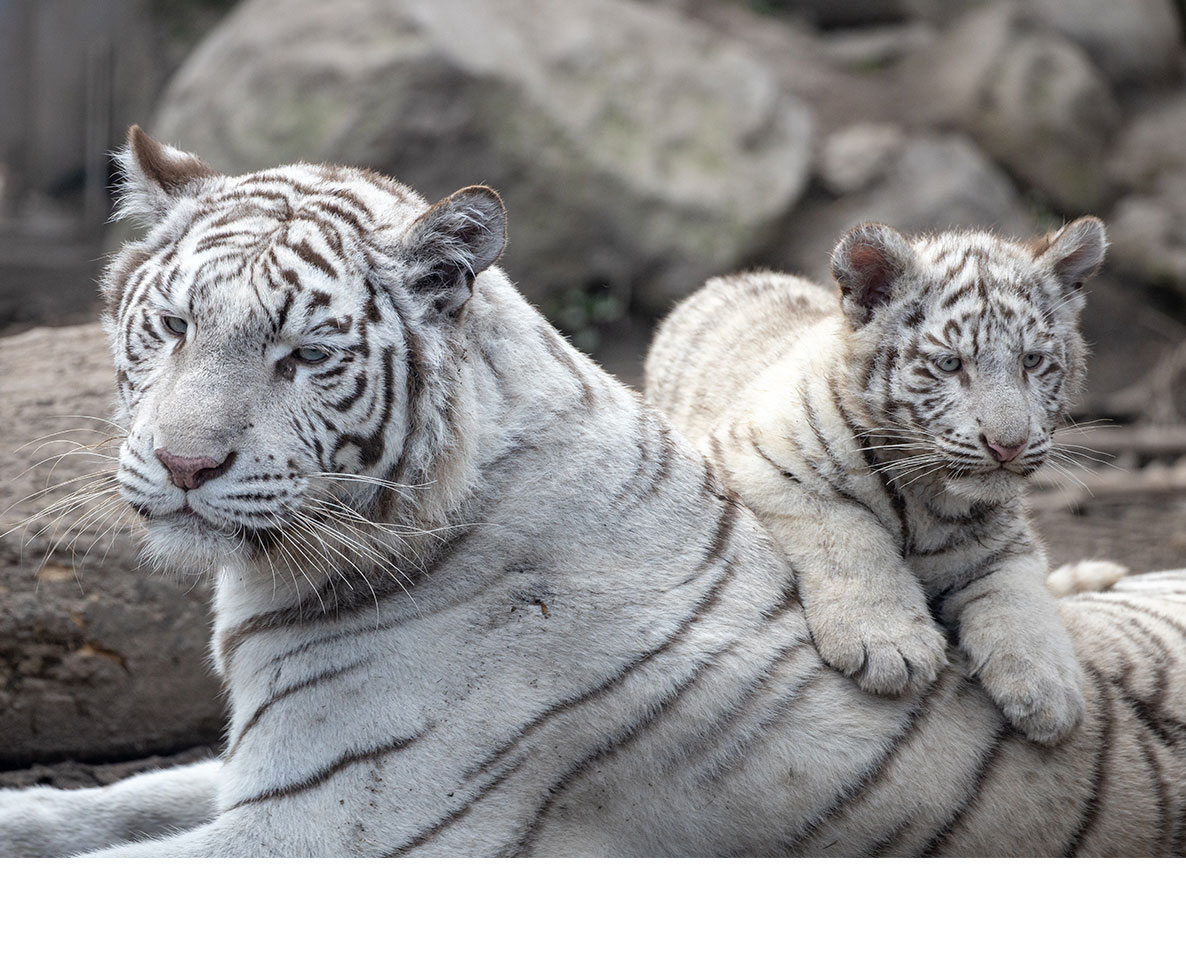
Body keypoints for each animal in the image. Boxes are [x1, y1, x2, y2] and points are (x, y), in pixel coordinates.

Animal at [2, 122, 1186, 853]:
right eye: (171, 326)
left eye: (304, 356)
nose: (185, 465)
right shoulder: (267, 774)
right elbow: (102, 808)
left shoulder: (323, 824)